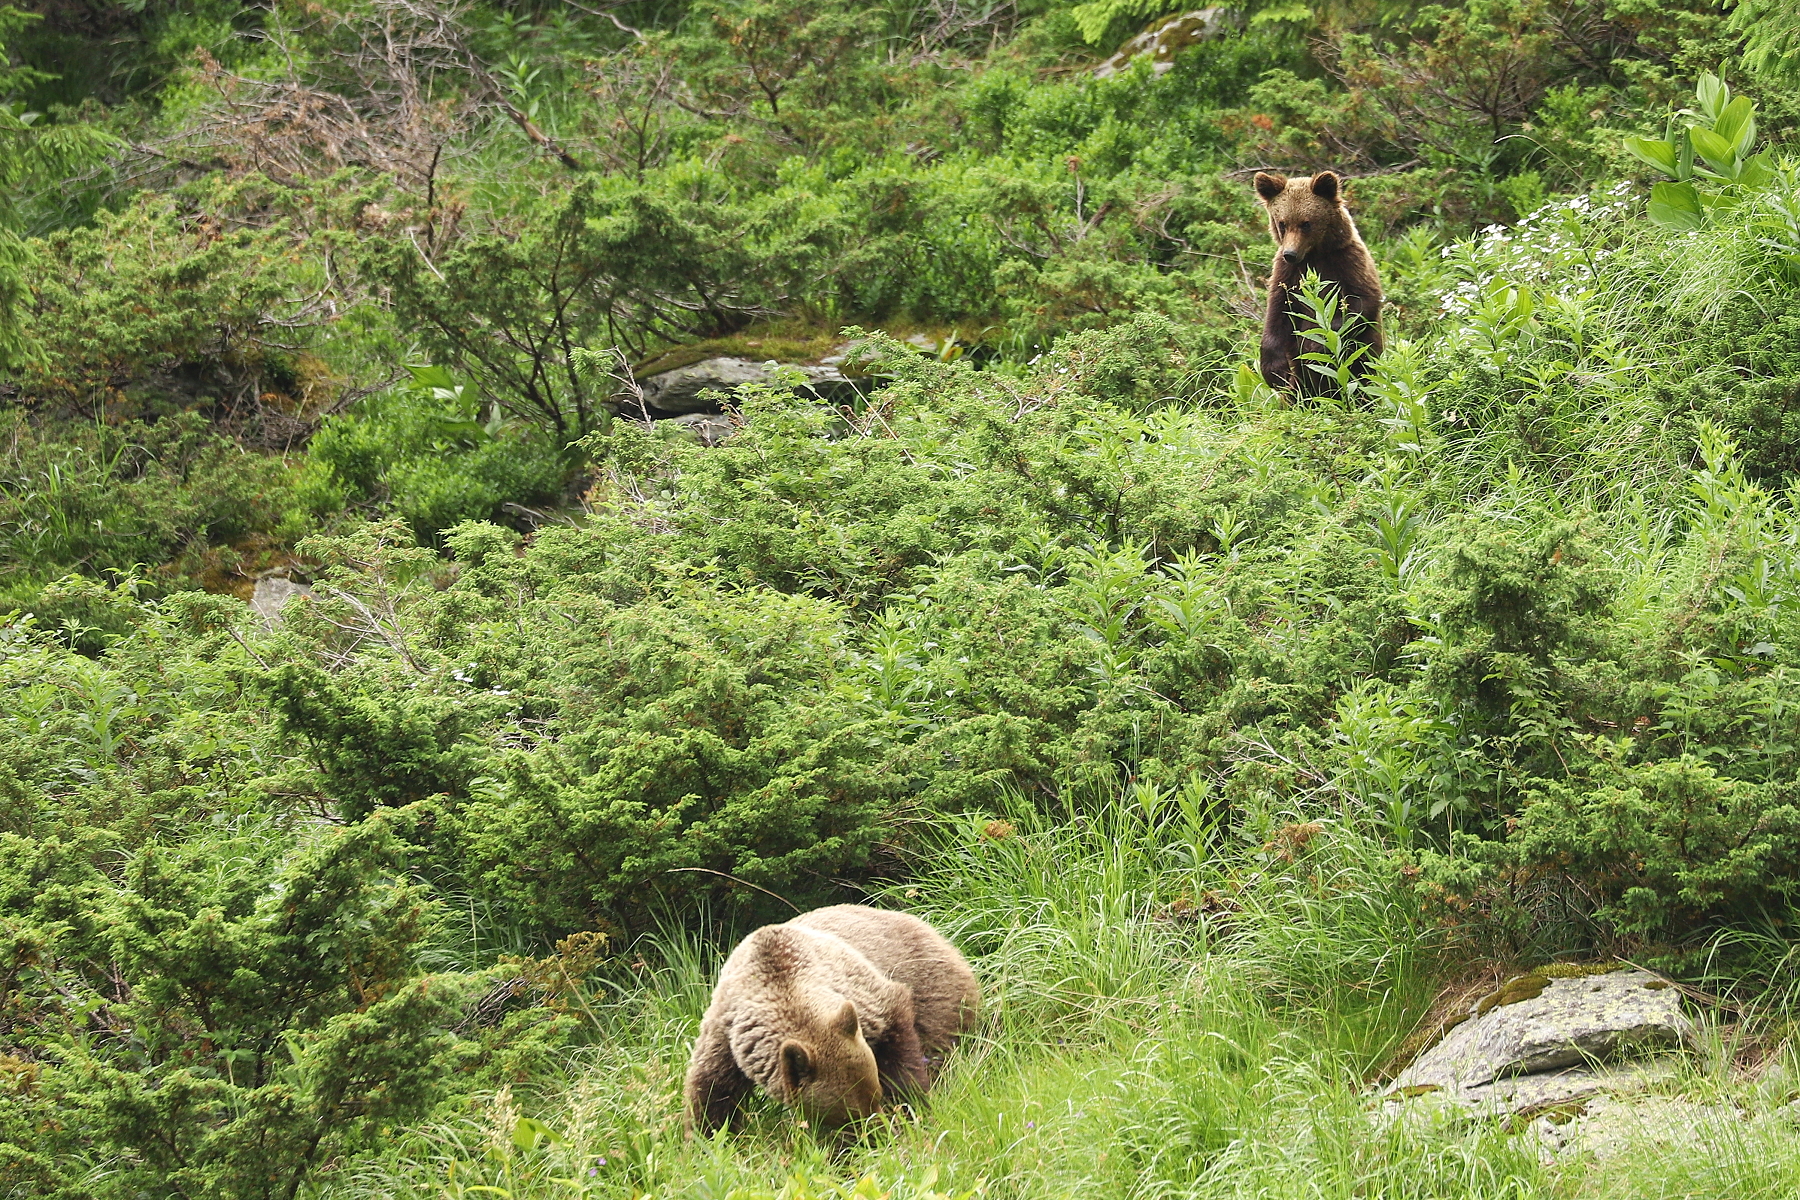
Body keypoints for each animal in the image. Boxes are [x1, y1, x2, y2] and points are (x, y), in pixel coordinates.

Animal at [680, 910, 979, 1137]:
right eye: (850, 1114)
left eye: (875, 1094)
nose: (878, 1132)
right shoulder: (728, 1032)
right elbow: (711, 1089)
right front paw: (706, 1139)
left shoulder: (867, 999)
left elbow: (900, 1049)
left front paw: (910, 1103)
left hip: (935, 985)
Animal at [1252, 170, 1389, 394]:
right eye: (1282, 223)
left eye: (1306, 223)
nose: (1290, 254)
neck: (1314, 255)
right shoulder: (1287, 274)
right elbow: (1277, 314)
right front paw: (1274, 371)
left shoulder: (1348, 262)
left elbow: (1361, 301)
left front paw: (1317, 346)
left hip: (1363, 361)